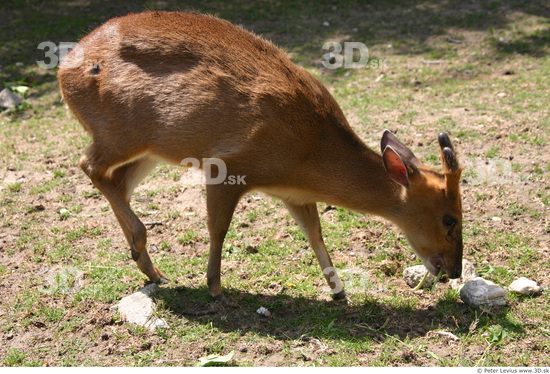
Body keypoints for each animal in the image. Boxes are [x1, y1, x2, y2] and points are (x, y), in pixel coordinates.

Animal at [58, 10, 464, 300]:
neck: (308, 153)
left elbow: (315, 233)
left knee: (117, 181)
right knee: (89, 166)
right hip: (120, 133)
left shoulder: (294, 195)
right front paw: (215, 287)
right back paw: (145, 249)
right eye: (450, 219)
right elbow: (218, 227)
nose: (455, 270)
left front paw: (338, 291)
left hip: (151, 149)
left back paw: (148, 266)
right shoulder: (227, 166)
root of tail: (65, 66)